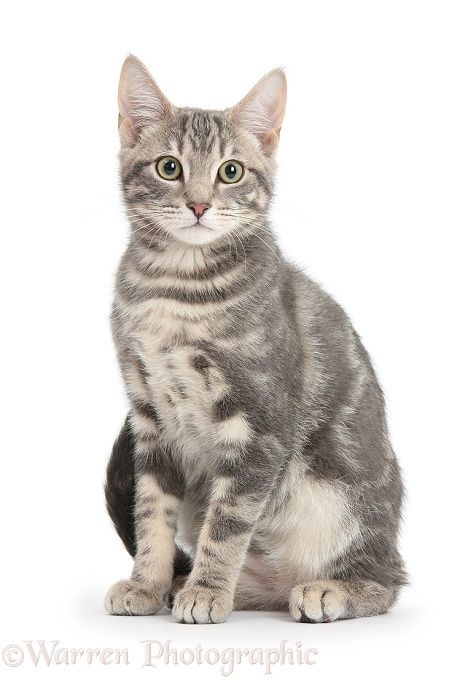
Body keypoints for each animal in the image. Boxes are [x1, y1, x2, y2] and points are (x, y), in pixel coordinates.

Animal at [105, 55, 406, 624]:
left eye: (231, 171)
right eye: (169, 167)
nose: (199, 205)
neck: (177, 288)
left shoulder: (258, 426)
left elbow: (228, 521)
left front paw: (207, 592)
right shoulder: (149, 420)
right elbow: (151, 512)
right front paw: (147, 583)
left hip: (344, 507)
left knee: (386, 579)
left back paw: (328, 590)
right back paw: (205, 584)